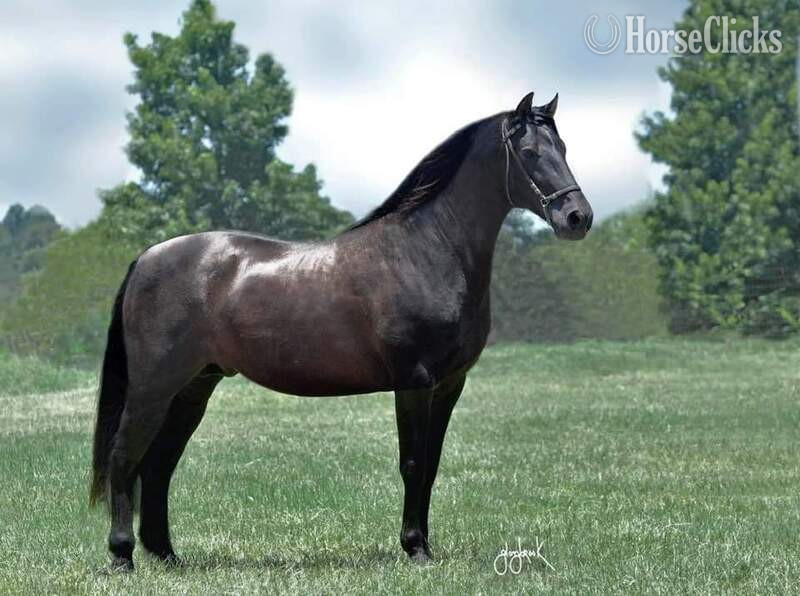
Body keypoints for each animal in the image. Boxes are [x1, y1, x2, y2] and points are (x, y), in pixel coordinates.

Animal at [90, 91, 593, 571]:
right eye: (529, 152)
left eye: (564, 148)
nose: (577, 217)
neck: (428, 249)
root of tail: (146, 258)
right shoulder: (414, 382)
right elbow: (413, 464)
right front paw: (415, 549)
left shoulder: (450, 385)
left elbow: (431, 466)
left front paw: (426, 545)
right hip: (153, 387)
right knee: (124, 457)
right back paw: (121, 556)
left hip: (193, 388)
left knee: (158, 466)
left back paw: (165, 555)